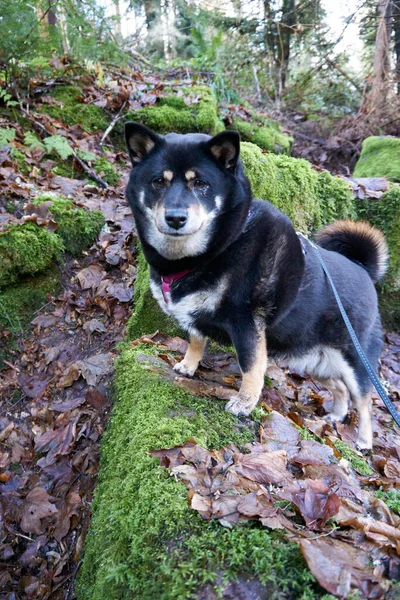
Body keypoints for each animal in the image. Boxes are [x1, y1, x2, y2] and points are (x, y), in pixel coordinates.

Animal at [125, 123, 388, 450]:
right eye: (159, 181)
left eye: (200, 183)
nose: (175, 218)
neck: (223, 245)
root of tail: (364, 271)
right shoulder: (197, 318)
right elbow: (196, 341)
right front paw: (188, 365)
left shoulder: (246, 324)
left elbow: (250, 367)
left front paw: (245, 403)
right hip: (316, 363)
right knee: (339, 388)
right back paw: (336, 416)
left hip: (355, 361)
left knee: (364, 399)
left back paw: (363, 439)